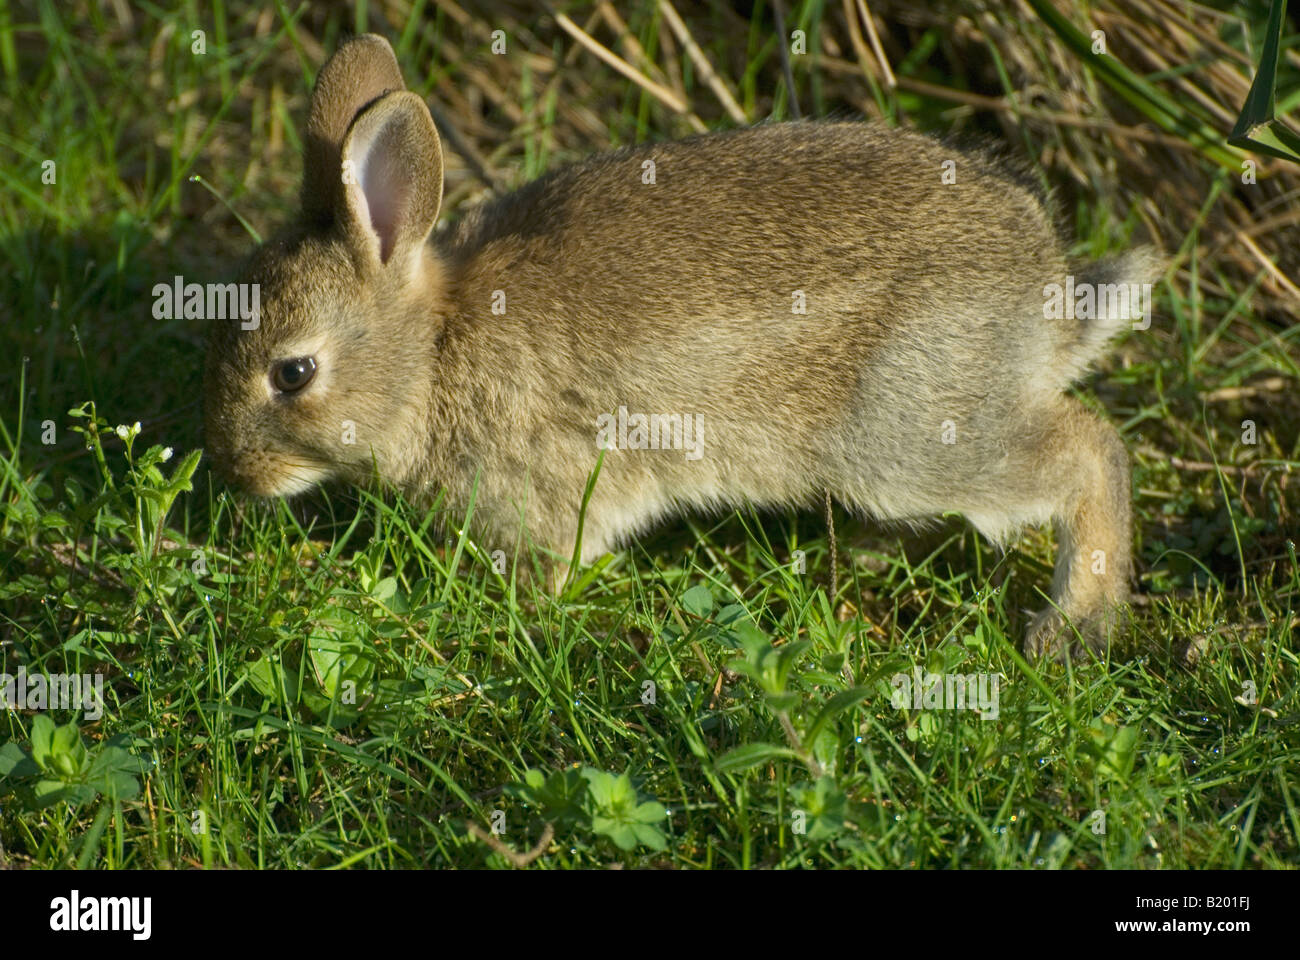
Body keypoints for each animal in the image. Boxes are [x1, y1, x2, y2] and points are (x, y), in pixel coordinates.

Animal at [202, 29, 1159, 658]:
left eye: (294, 373)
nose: (233, 473)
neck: (433, 355)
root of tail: (1049, 301)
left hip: (910, 431)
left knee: (1089, 449)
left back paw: (1076, 626)